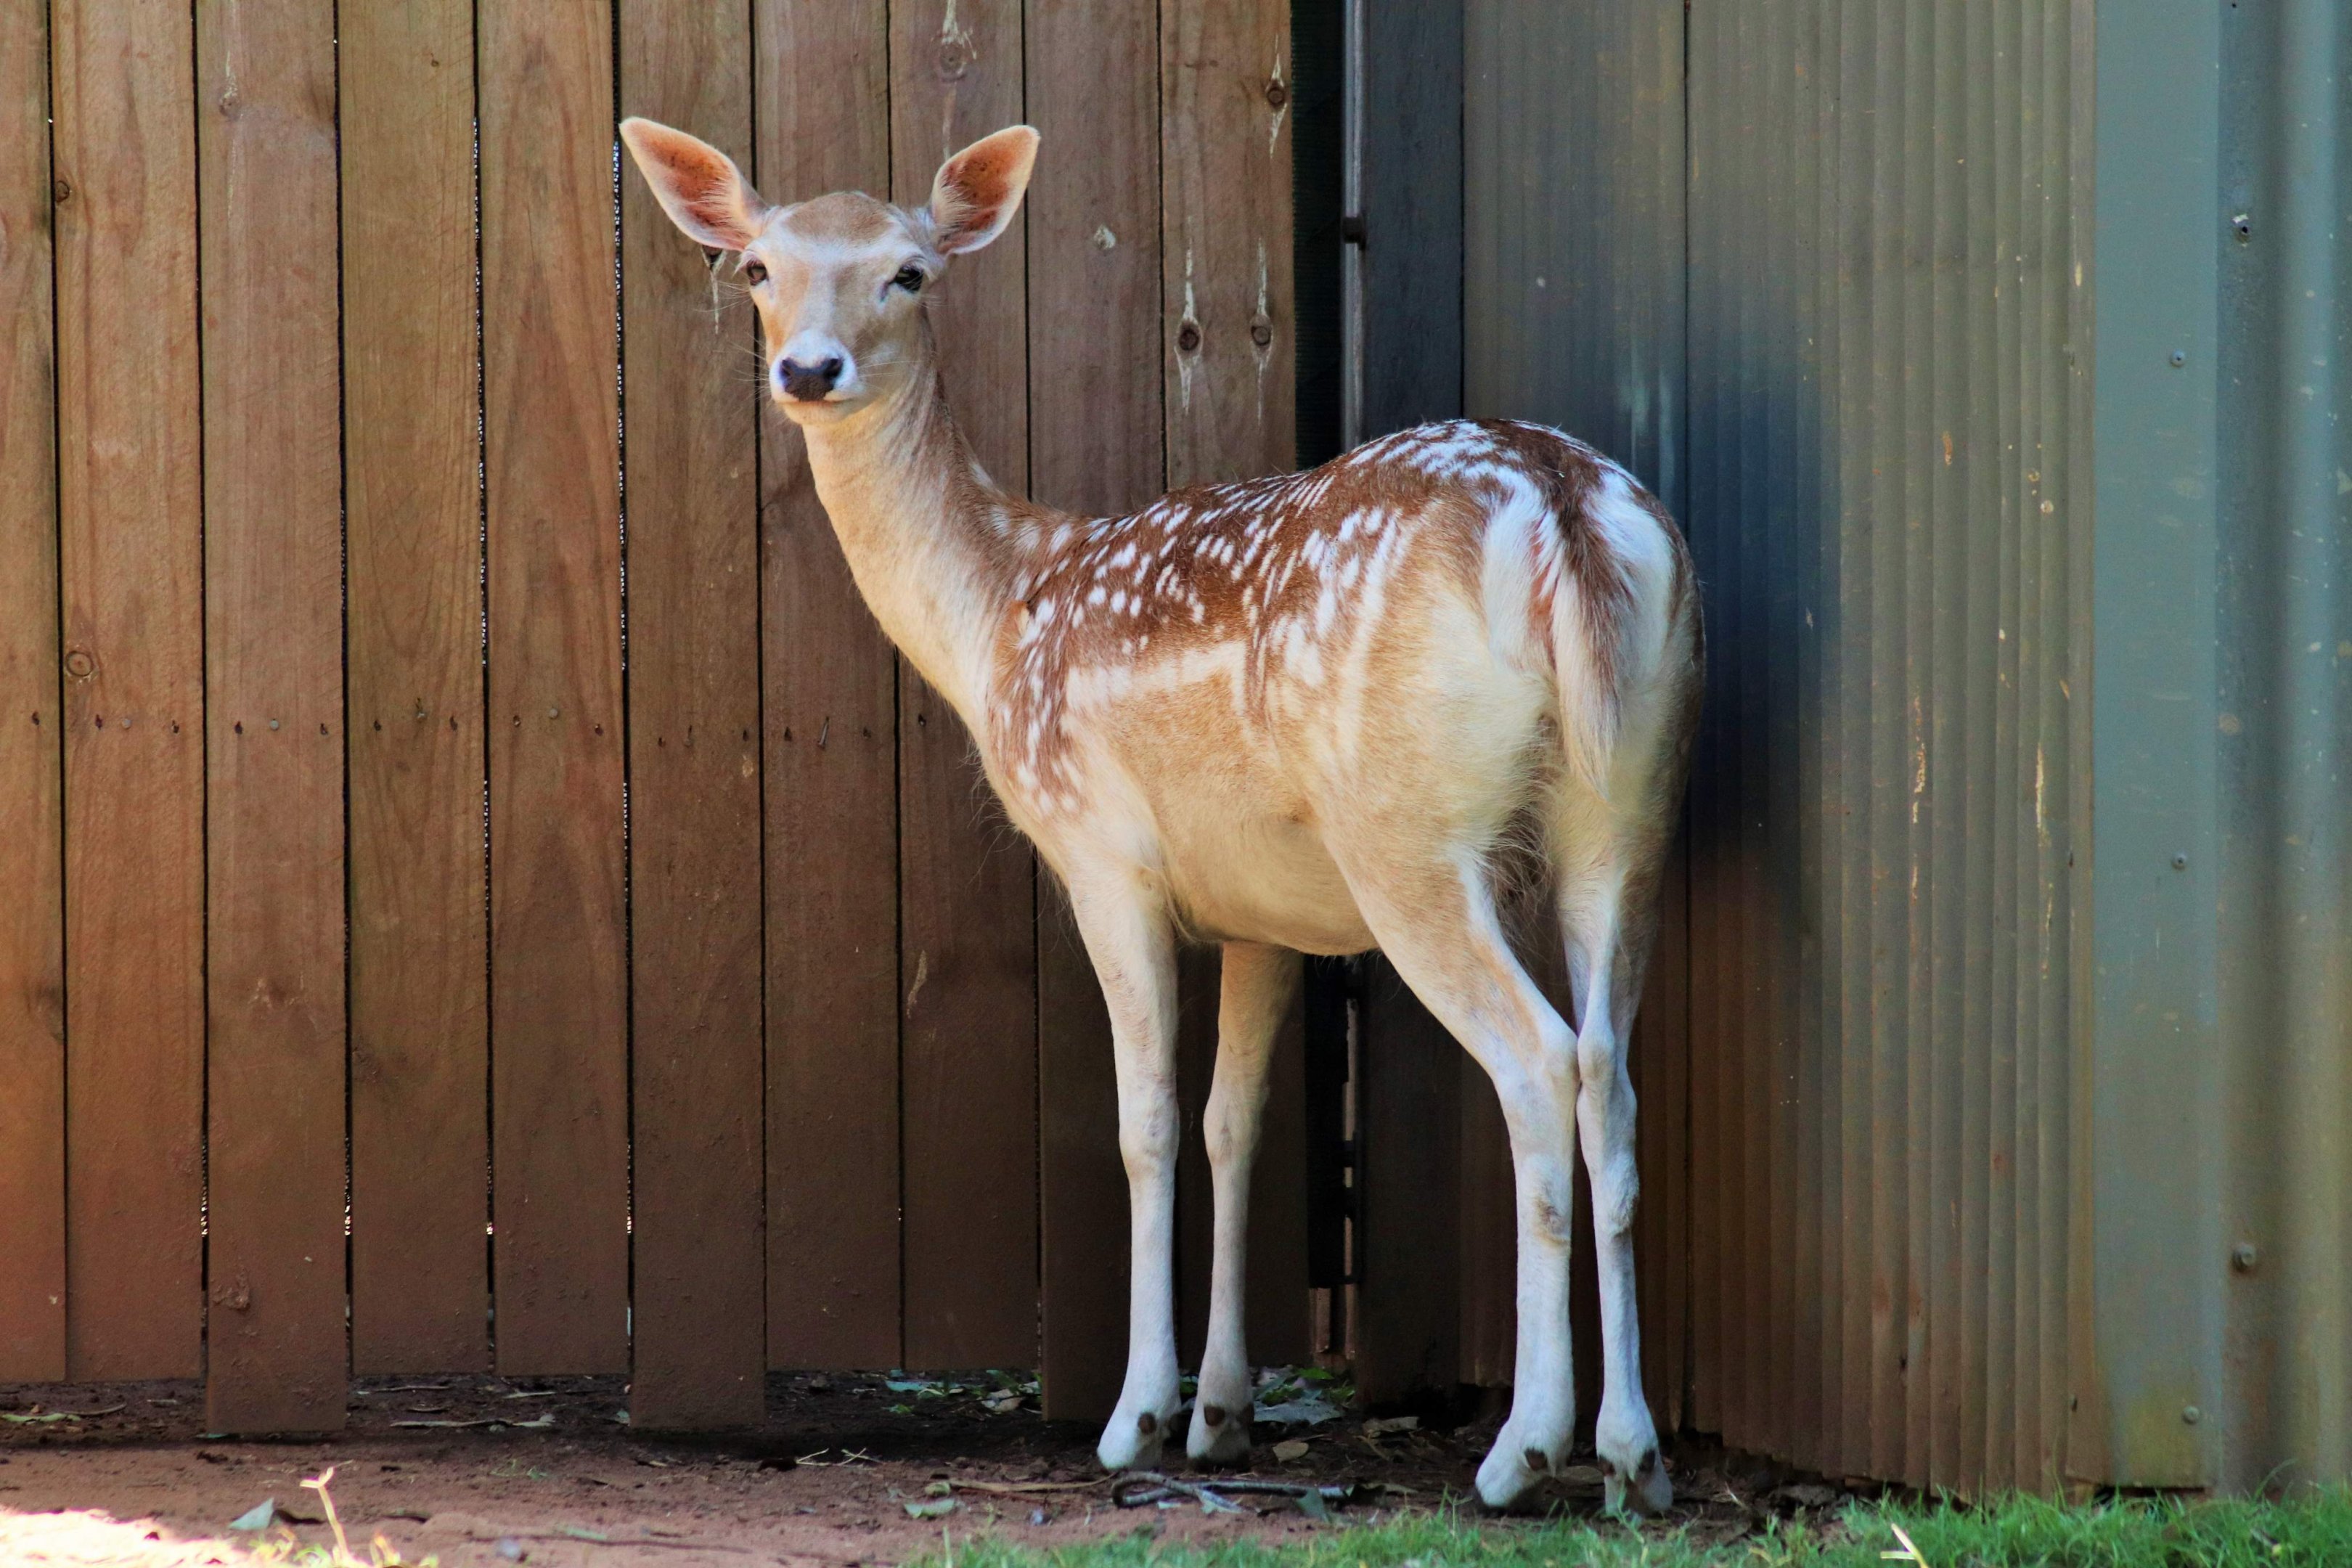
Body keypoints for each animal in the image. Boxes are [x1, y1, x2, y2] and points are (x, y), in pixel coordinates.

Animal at [621, 117, 1701, 1514]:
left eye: (910, 272)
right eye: (758, 266)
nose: (809, 367)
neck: (997, 616)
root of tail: (1560, 506)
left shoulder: (1098, 849)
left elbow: (1142, 1126)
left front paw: (1138, 1417)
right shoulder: (1264, 912)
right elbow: (1234, 1124)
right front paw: (1224, 1413)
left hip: (1405, 831)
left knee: (1540, 1061)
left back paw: (1524, 1448)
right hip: (1635, 797)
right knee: (1612, 1073)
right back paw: (1634, 1454)